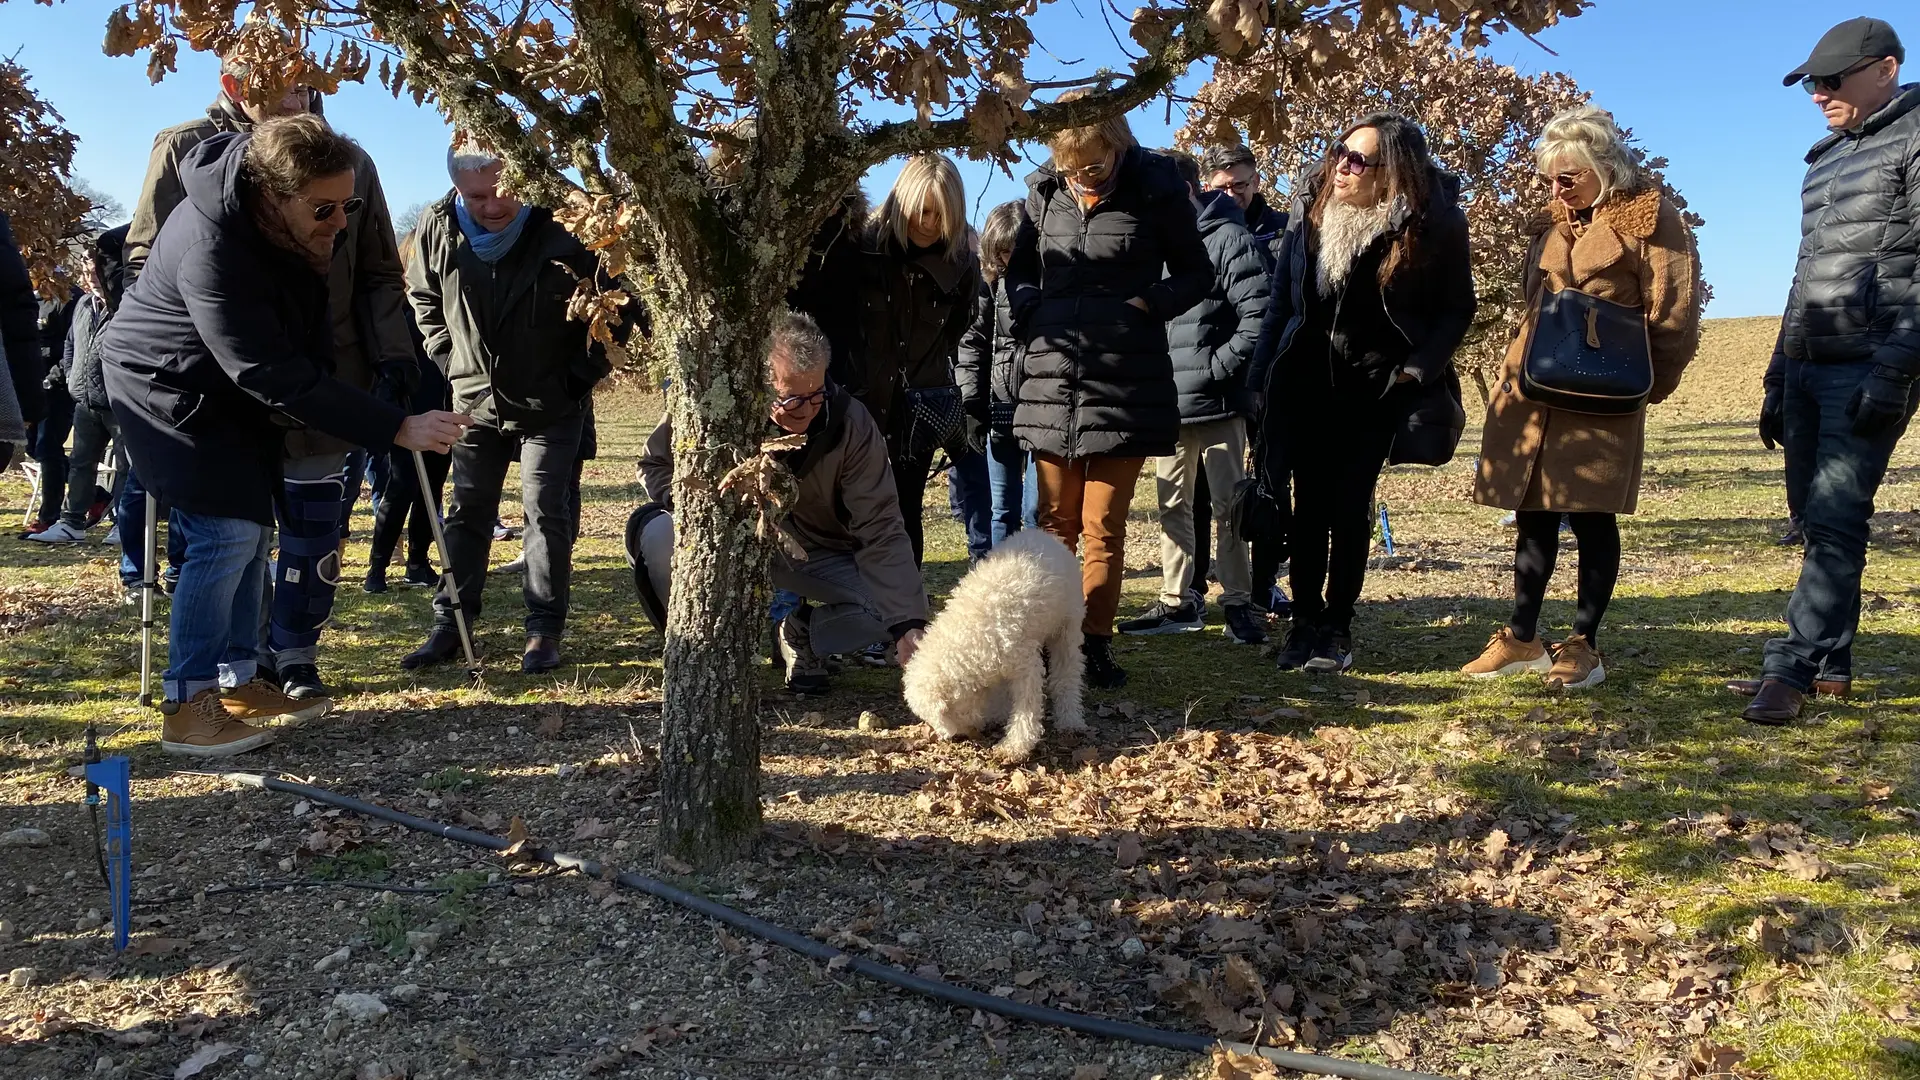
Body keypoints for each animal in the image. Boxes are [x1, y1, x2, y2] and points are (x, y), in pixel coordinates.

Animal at [898, 526, 1082, 760]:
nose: (957, 736)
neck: (970, 633)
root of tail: (1044, 534)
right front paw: (998, 714)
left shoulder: (1026, 666)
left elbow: (1026, 708)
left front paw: (1015, 746)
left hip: (1067, 627)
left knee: (1067, 676)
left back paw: (1070, 719)